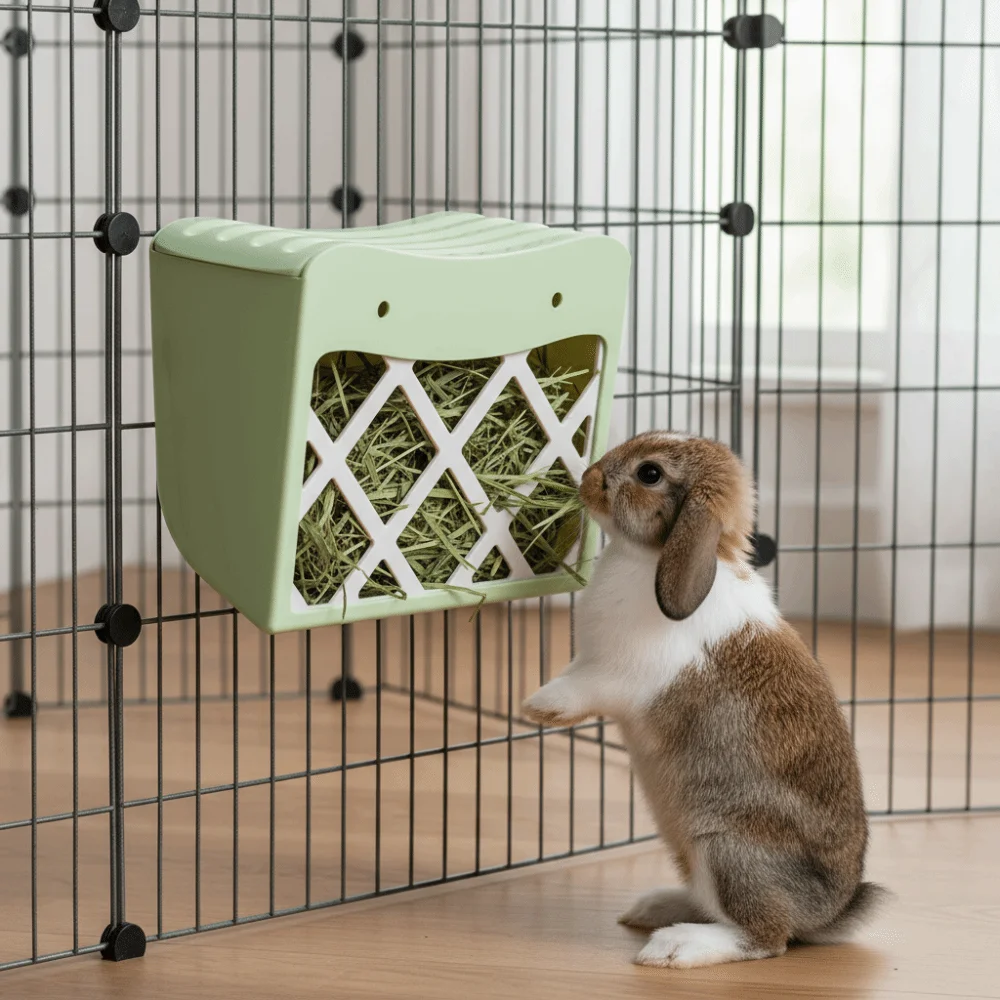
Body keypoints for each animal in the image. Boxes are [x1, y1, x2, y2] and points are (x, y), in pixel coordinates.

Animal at [522, 430, 887, 969]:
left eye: (650, 473)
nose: (588, 477)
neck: (652, 559)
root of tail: (826, 912)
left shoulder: (621, 676)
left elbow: (585, 687)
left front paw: (538, 706)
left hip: (725, 850)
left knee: (766, 938)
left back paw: (674, 947)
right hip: (693, 854)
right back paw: (653, 908)